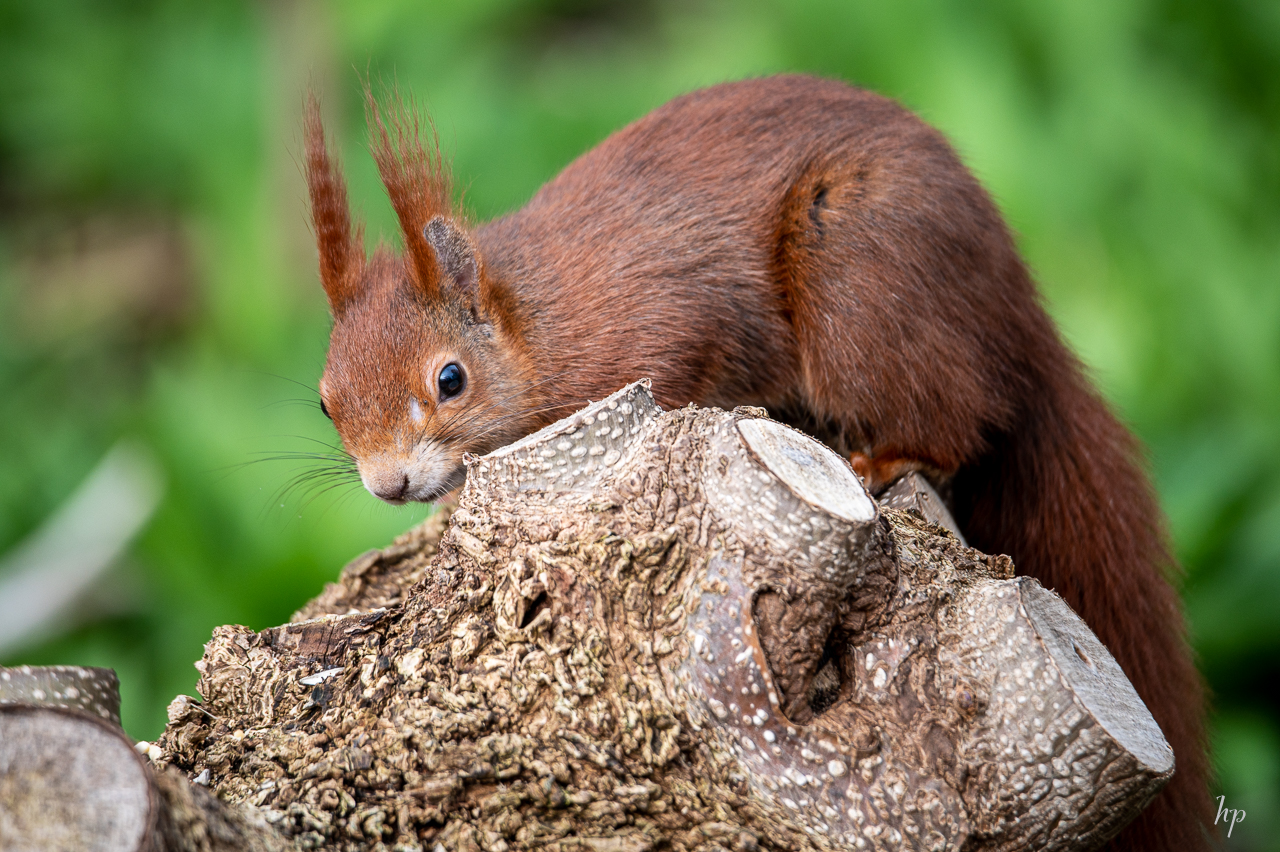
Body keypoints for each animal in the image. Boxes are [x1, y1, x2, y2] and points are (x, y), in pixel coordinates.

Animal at [304, 74, 1203, 849]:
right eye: (324, 401)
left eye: (449, 380)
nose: (389, 484)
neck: (535, 322)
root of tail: (1020, 321)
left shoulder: (665, 327)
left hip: (862, 282)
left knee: (958, 421)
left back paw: (883, 457)